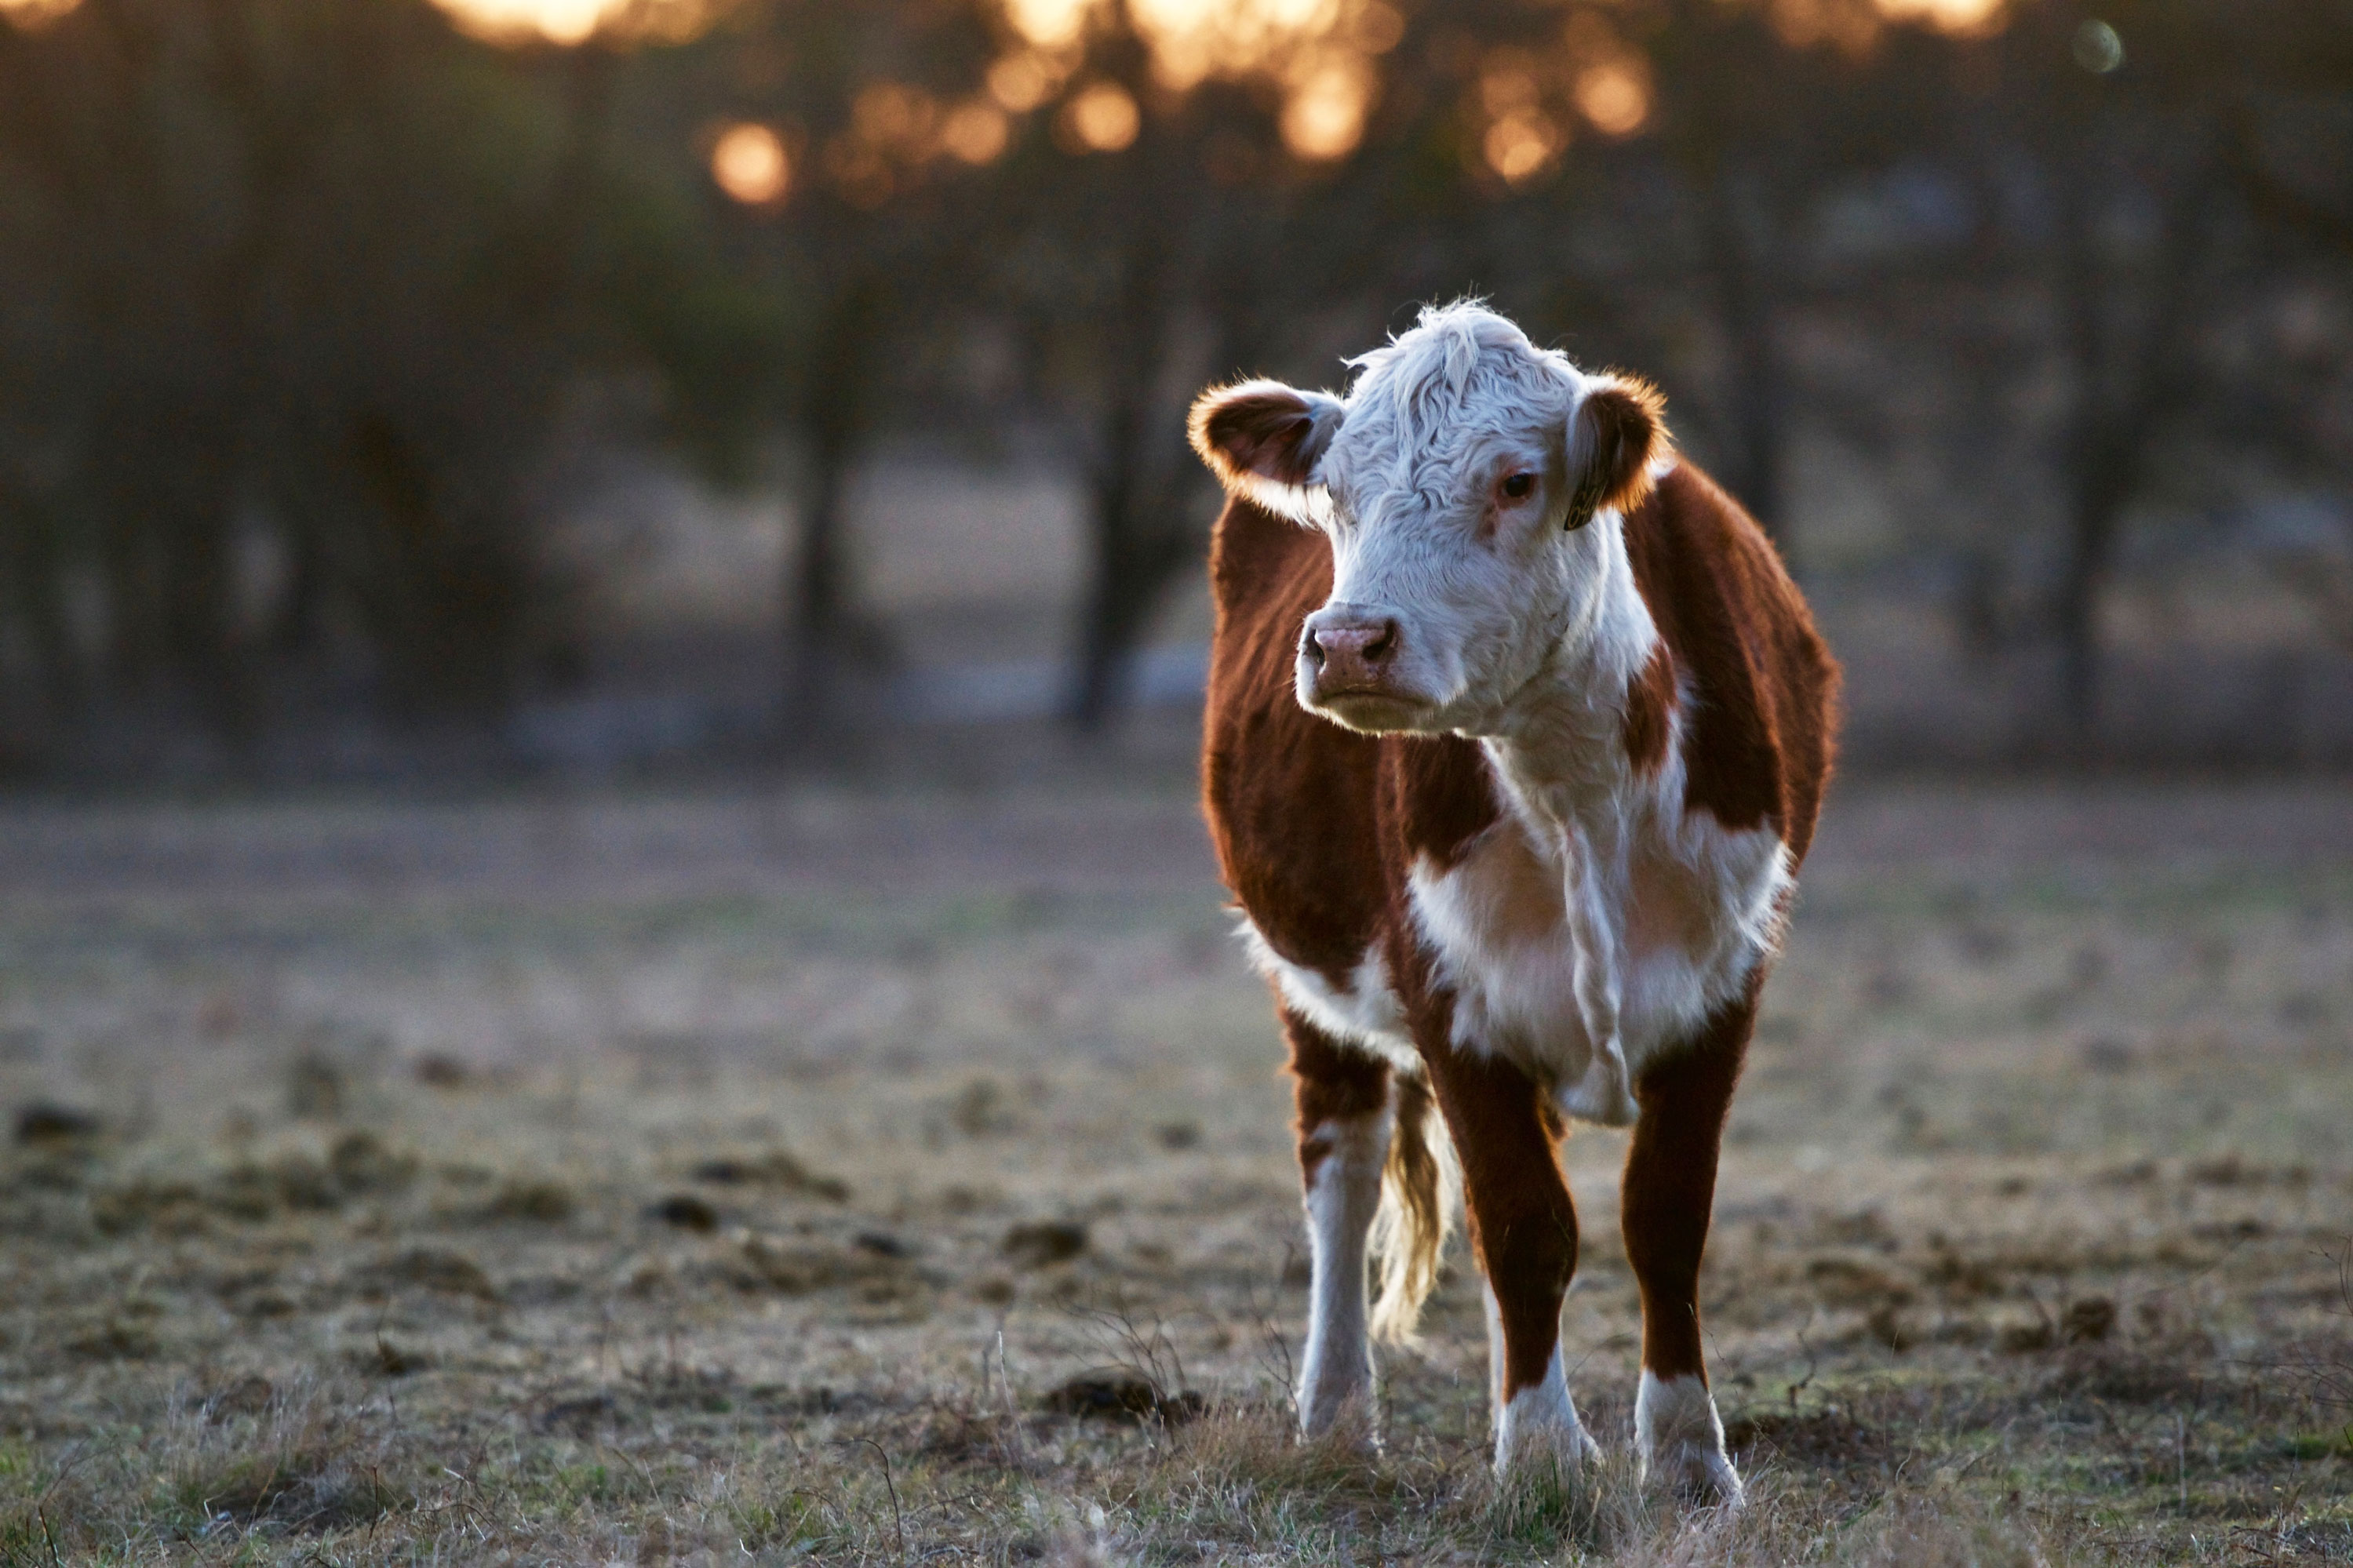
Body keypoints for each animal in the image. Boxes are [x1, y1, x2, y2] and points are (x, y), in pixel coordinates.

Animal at [1195, 300, 1835, 1504]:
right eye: (1334, 489)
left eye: (1514, 480)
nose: (1346, 642)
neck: (1574, 781)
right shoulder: (1446, 991)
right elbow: (1524, 1221)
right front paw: (1540, 1452)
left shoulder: (1727, 981)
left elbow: (1662, 1217)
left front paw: (1687, 1455)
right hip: (1308, 976)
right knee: (1343, 1171)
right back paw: (1336, 1415)